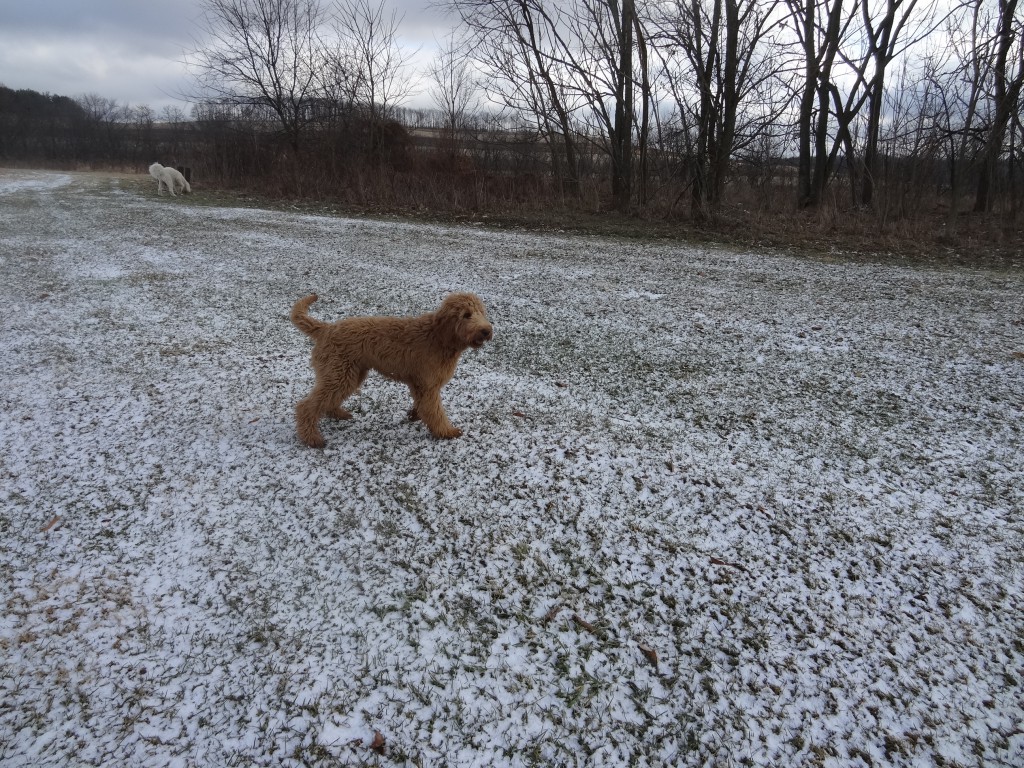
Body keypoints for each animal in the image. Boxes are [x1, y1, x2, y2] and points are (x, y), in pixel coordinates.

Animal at [290, 290, 493, 448]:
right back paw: (312, 438)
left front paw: (414, 415)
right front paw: (447, 432)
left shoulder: (420, 384)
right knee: (306, 405)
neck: (439, 337)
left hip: (350, 374)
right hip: (339, 373)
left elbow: (423, 405)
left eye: (481, 312)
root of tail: (326, 328)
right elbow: (435, 411)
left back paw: (338, 413)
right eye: (466, 314)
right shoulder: (428, 385)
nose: (486, 331)